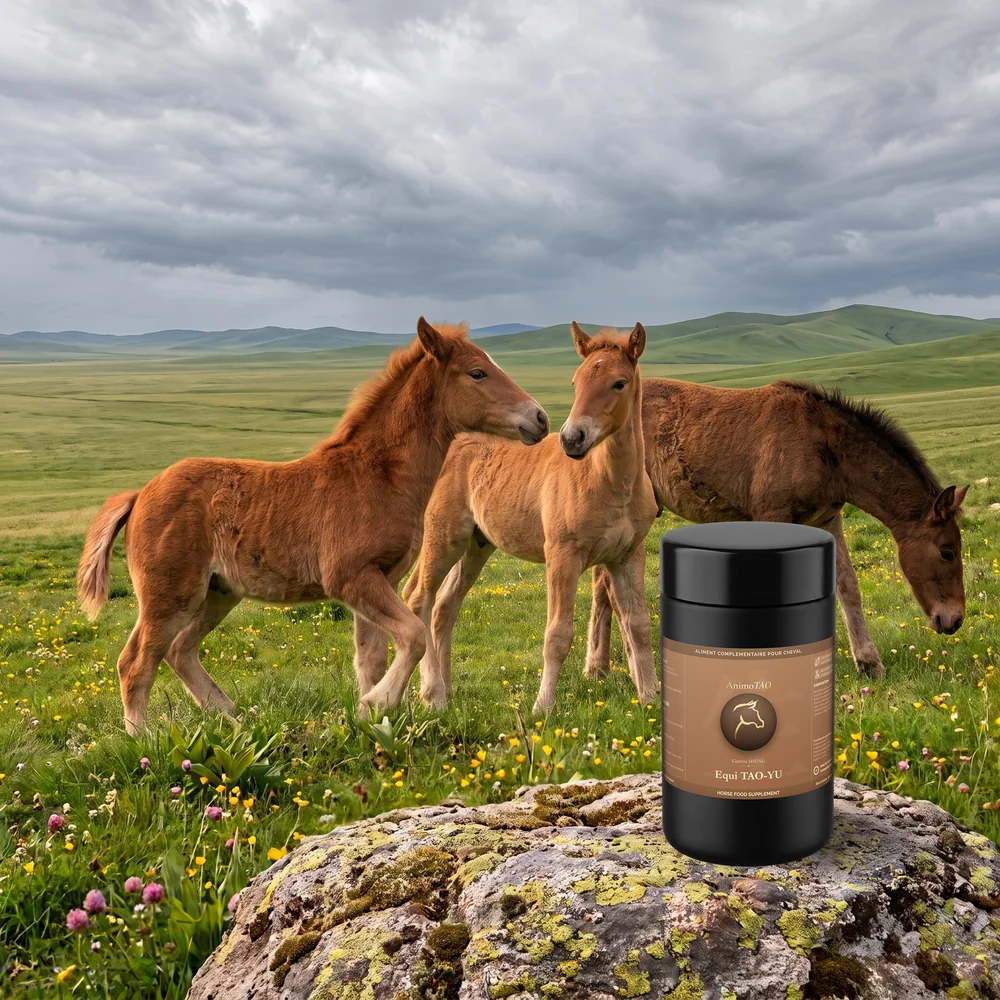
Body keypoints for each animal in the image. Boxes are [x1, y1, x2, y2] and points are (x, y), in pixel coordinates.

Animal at [76, 319, 549, 734]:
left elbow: (371, 658)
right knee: (136, 662)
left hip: (218, 592)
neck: (377, 475)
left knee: (180, 650)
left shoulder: (380, 580)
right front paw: (377, 703)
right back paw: (144, 740)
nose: (540, 418)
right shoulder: (350, 577)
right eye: (477, 372)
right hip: (170, 594)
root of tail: (140, 494)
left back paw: (232, 719)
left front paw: (372, 722)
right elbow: (413, 636)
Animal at [384, 321, 659, 717]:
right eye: (575, 381)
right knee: (420, 597)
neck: (610, 482)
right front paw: (542, 707)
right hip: (444, 537)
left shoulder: (628, 555)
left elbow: (638, 626)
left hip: (477, 545)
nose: (572, 438)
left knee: (445, 606)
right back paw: (432, 694)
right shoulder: (562, 556)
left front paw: (650, 698)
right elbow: (557, 634)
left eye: (619, 383)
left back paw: (446, 692)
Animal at [586, 378, 968, 681]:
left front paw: (869, 663)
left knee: (603, 585)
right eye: (947, 551)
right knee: (611, 588)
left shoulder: (827, 521)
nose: (954, 621)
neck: (823, 447)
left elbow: (848, 586)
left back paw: (598, 670)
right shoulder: (774, 515)